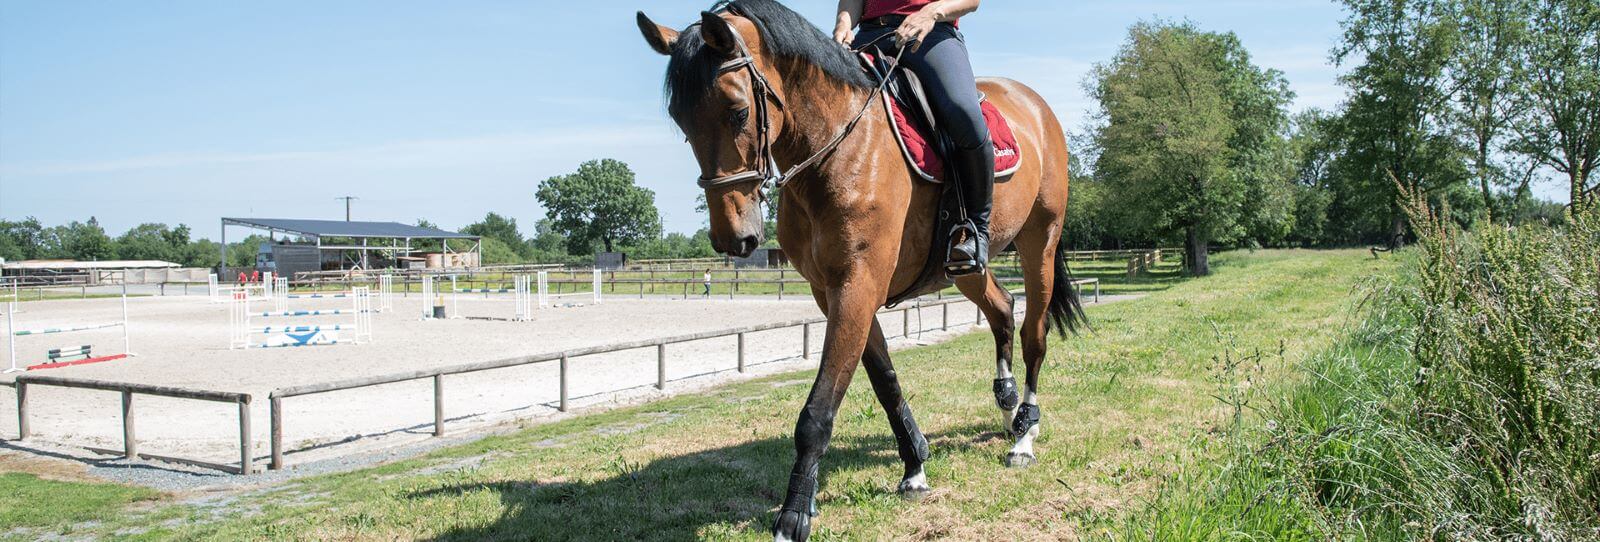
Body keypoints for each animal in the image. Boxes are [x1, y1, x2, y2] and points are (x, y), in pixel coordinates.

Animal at [636, 3, 1088, 540]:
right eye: (680, 119)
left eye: (737, 111)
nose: (733, 238)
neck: (838, 147)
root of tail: (1035, 104)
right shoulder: (833, 291)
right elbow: (885, 381)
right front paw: (915, 467)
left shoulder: (857, 284)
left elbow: (817, 411)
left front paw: (793, 516)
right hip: (966, 266)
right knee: (1001, 309)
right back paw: (1006, 405)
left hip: (1040, 241)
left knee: (1033, 333)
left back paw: (1024, 434)